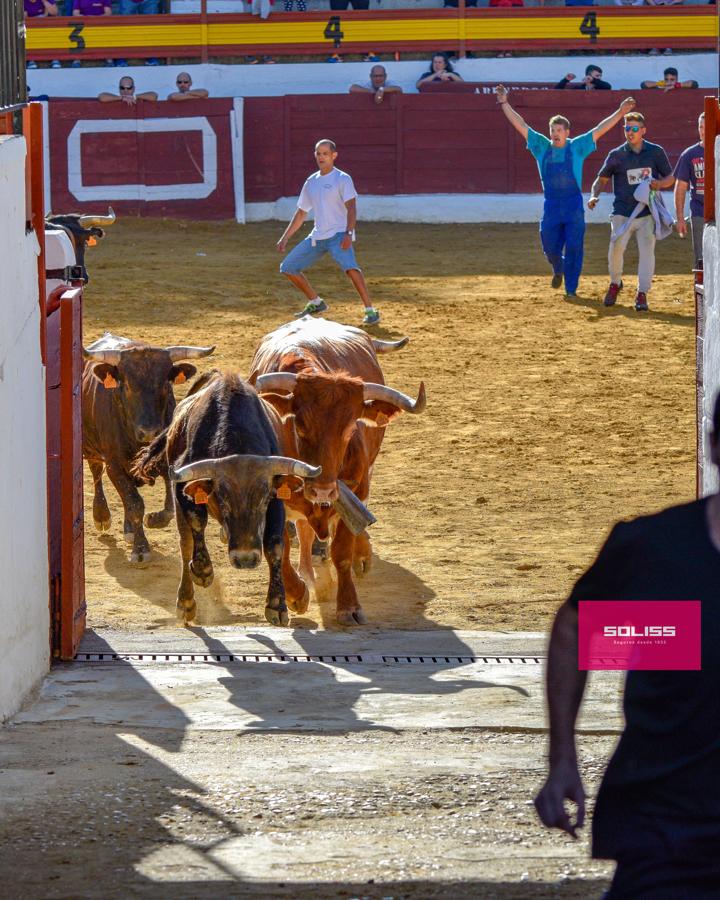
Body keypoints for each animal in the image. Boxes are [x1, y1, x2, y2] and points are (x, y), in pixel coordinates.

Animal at [83, 330, 214, 564]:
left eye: (165, 384)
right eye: (127, 386)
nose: (150, 432)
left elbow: (168, 505)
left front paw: (154, 520)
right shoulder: (114, 465)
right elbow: (135, 503)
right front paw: (141, 548)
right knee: (97, 471)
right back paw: (102, 516)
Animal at [249, 318, 424, 624]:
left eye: (351, 428)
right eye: (300, 425)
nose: (322, 489)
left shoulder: (354, 487)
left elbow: (342, 548)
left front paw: (349, 605)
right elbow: (279, 547)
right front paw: (292, 596)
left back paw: (359, 556)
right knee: (305, 531)